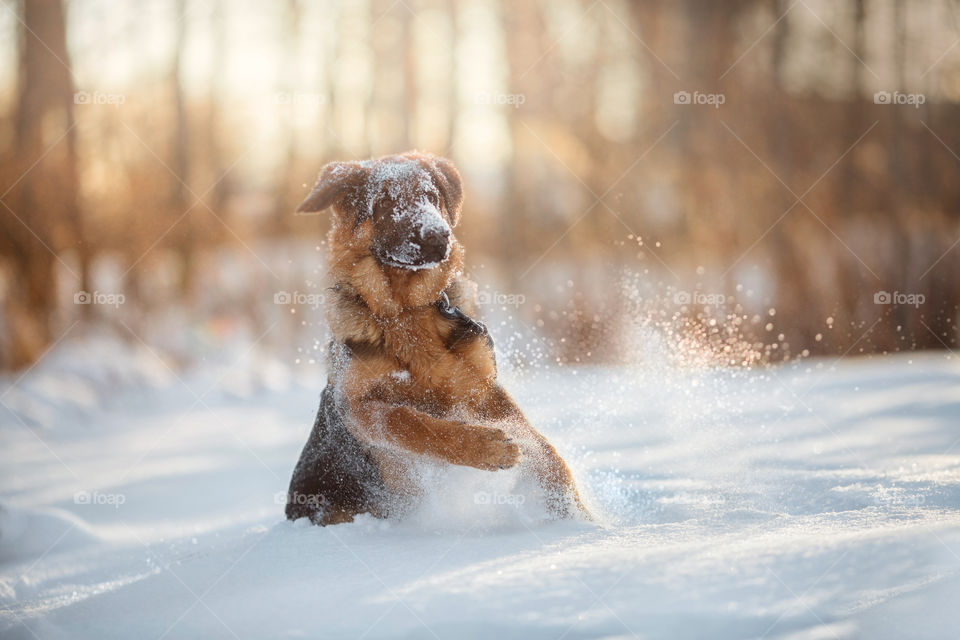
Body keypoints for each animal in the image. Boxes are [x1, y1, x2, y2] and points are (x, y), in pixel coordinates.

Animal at [282, 151, 588, 524]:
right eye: (385, 202)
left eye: (430, 196)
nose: (437, 236)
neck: (406, 313)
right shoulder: (357, 407)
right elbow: (408, 422)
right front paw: (486, 448)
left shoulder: (483, 389)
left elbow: (543, 448)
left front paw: (579, 515)